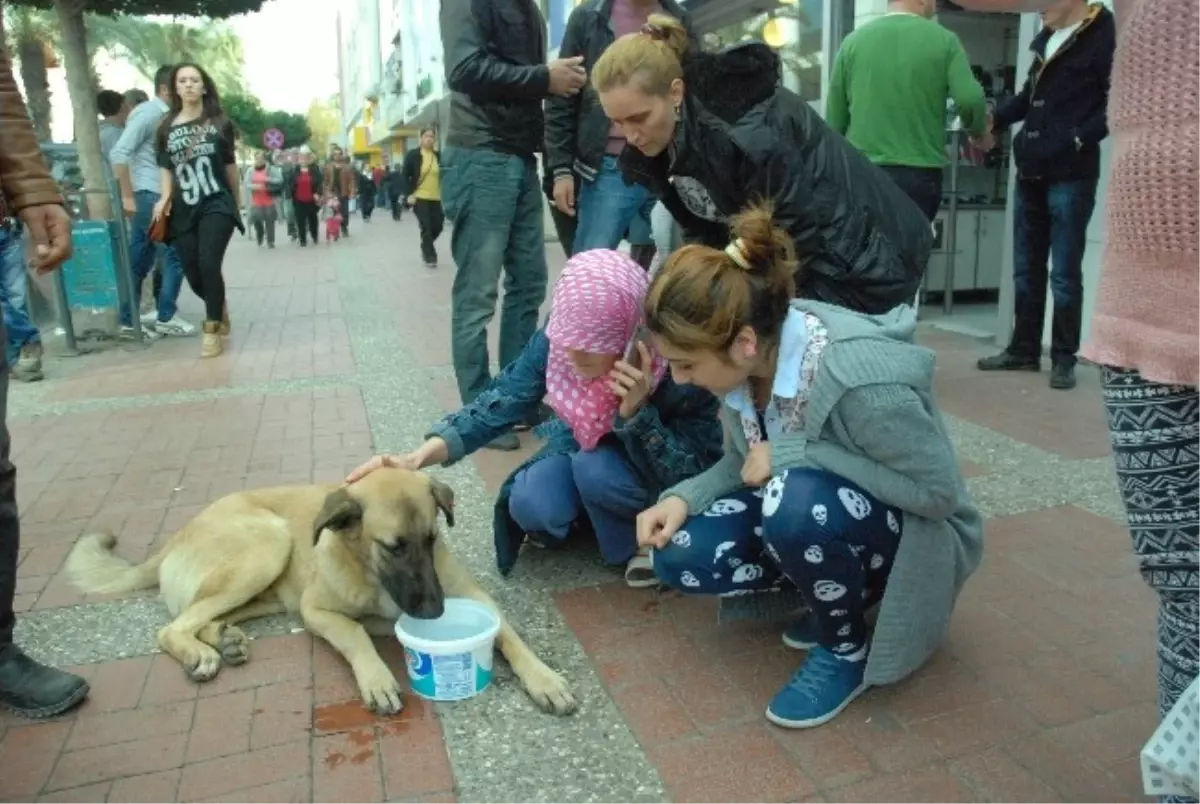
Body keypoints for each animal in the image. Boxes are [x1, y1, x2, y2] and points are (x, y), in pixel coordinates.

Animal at [63, 465, 578, 720]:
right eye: (393, 547)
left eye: (432, 539)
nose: (435, 612)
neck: (370, 573)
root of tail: (174, 537)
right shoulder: (317, 611)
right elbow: (357, 636)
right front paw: (377, 679)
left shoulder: (475, 595)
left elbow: (508, 634)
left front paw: (544, 678)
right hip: (266, 546)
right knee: (172, 626)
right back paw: (201, 653)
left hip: (264, 582)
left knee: (200, 615)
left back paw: (224, 640)